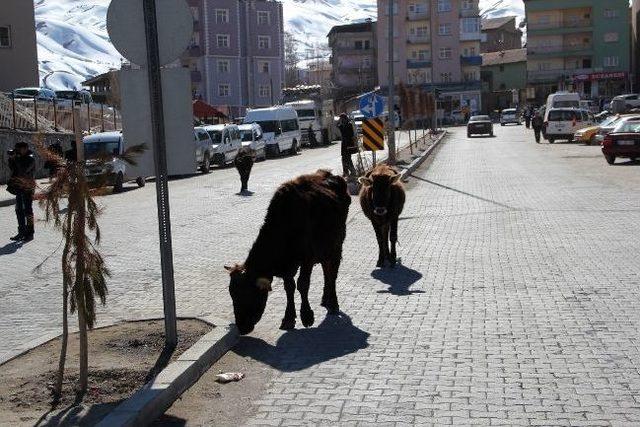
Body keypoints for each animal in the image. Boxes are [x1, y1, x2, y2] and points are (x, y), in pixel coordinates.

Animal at [225, 170, 350, 334]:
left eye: (248, 294)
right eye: (232, 295)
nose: (241, 328)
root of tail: (330, 175)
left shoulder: (307, 259)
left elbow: (303, 284)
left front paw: (307, 316)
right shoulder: (286, 267)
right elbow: (289, 288)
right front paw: (289, 318)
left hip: (336, 246)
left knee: (332, 274)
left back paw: (333, 303)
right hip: (324, 249)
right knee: (326, 271)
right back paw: (325, 299)